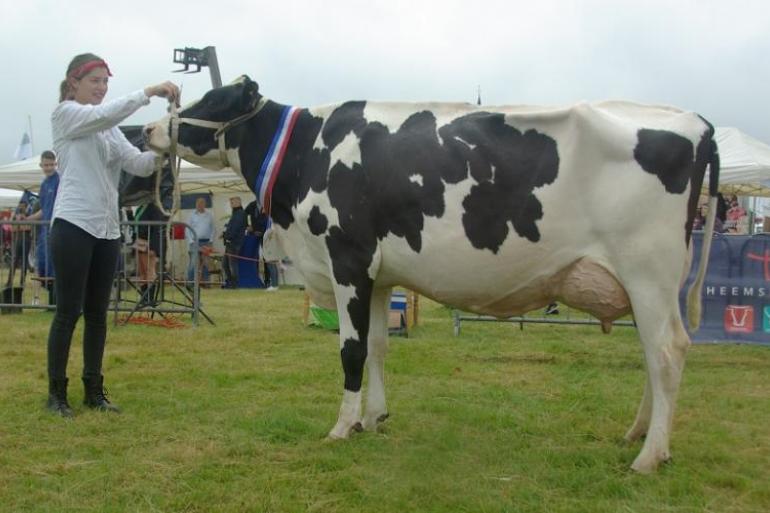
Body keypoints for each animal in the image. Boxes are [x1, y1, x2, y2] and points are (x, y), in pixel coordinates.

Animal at [146, 76, 720, 472]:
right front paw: (373, 418)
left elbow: (351, 350)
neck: (308, 152)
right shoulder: (378, 275)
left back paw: (650, 456)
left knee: (667, 351)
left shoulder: (347, 259)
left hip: (648, 271)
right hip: (650, 283)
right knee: (654, 354)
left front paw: (341, 426)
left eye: (210, 102)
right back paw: (639, 434)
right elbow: (378, 346)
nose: (149, 128)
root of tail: (698, 123)